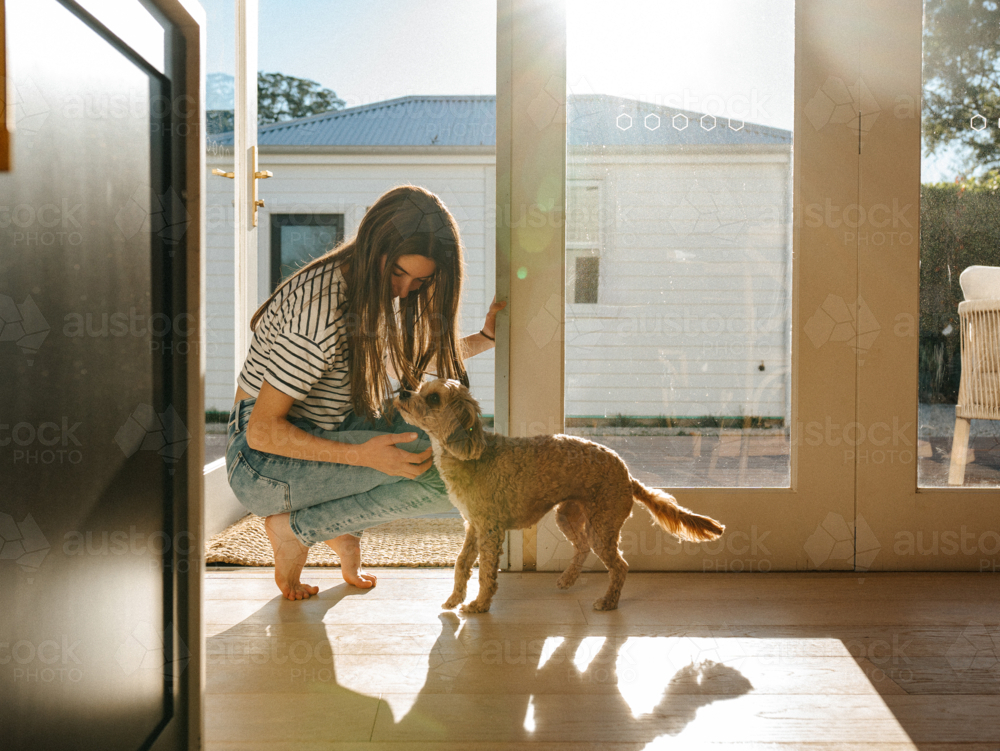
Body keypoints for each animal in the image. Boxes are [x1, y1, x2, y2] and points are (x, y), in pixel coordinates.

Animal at [392, 378, 728, 612]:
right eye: (421, 387)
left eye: (433, 397)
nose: (403, 392)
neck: (474, 455)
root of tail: (627, 476)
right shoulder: (472, 526)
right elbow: (462, 564)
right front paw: (453, 599)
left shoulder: (490, 531)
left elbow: (486, 572)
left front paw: (479, 605)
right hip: (568, 516)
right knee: (581, 548)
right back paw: (568, 579)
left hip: (602, 528)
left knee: (619, 566)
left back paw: (608, 602)